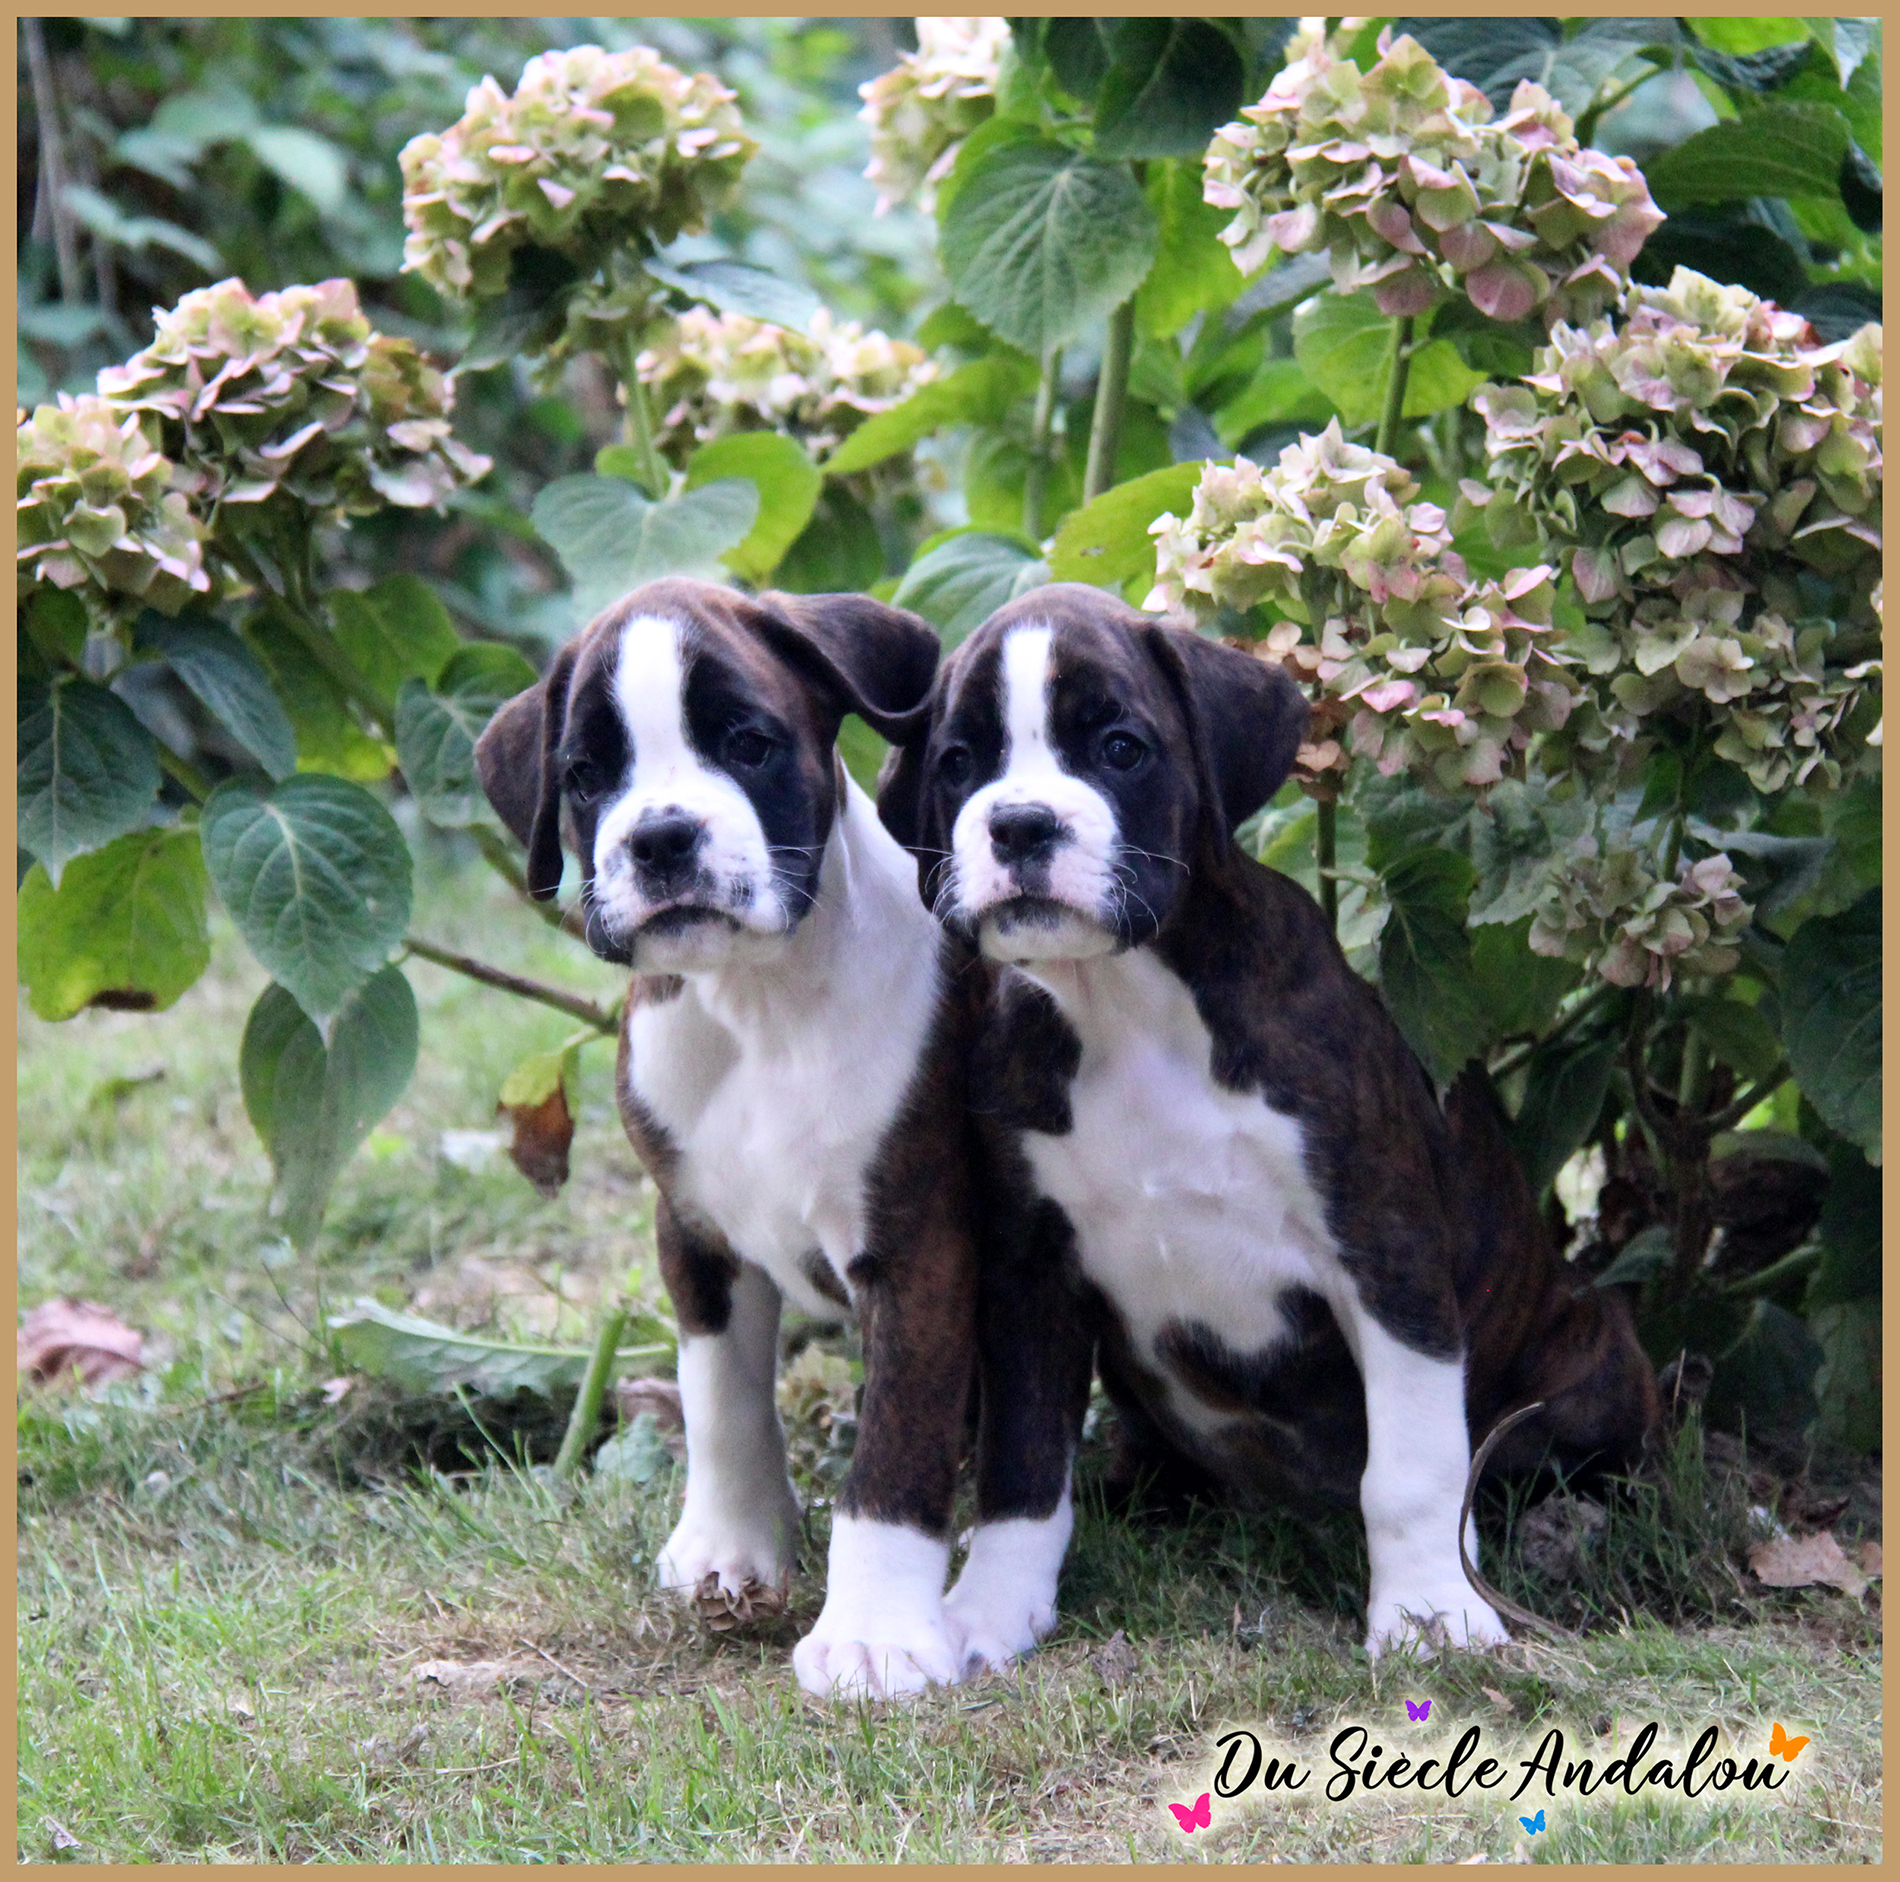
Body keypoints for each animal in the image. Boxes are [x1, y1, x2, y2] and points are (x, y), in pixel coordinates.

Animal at [476, 577, 984, 1698]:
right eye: (586, 775)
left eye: (748, 743)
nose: (661, 837)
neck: (761, 1003)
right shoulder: (696, 1232)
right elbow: (722, 1401)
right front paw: (730, 1548)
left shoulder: (920, 1248)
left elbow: (895, 1444)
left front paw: (875, 1632)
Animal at [877, 582, 1659, 1669]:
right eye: (959, 762)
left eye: (1119, 747)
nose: (1022, 823)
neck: (1128, 1005)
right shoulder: (1030, 1264)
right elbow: (1022, 1461)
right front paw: (991, 1610)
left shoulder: (1383, 1250)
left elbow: (1411, 1465)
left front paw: (1431, 1612)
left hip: (1596, 1353)